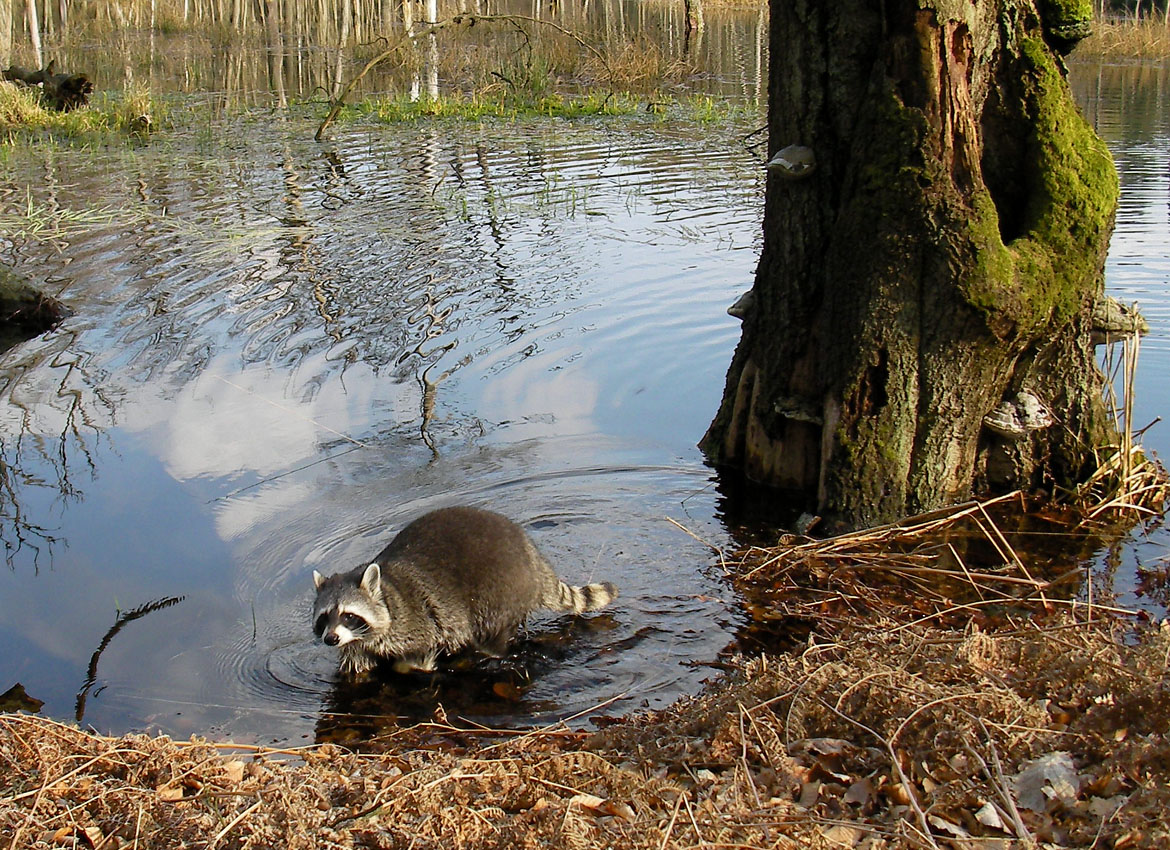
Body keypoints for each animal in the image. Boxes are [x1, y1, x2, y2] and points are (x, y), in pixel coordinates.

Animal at [312, 506, 618, 676]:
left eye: (349, 615)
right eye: (324, 617)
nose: (330, 639)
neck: (387, 594)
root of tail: (532, 555)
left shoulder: (417, 622)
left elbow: (420, 656)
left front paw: (409, 667)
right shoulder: (357, 642)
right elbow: (357, 665)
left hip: (500, 591)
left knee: (491, 632)